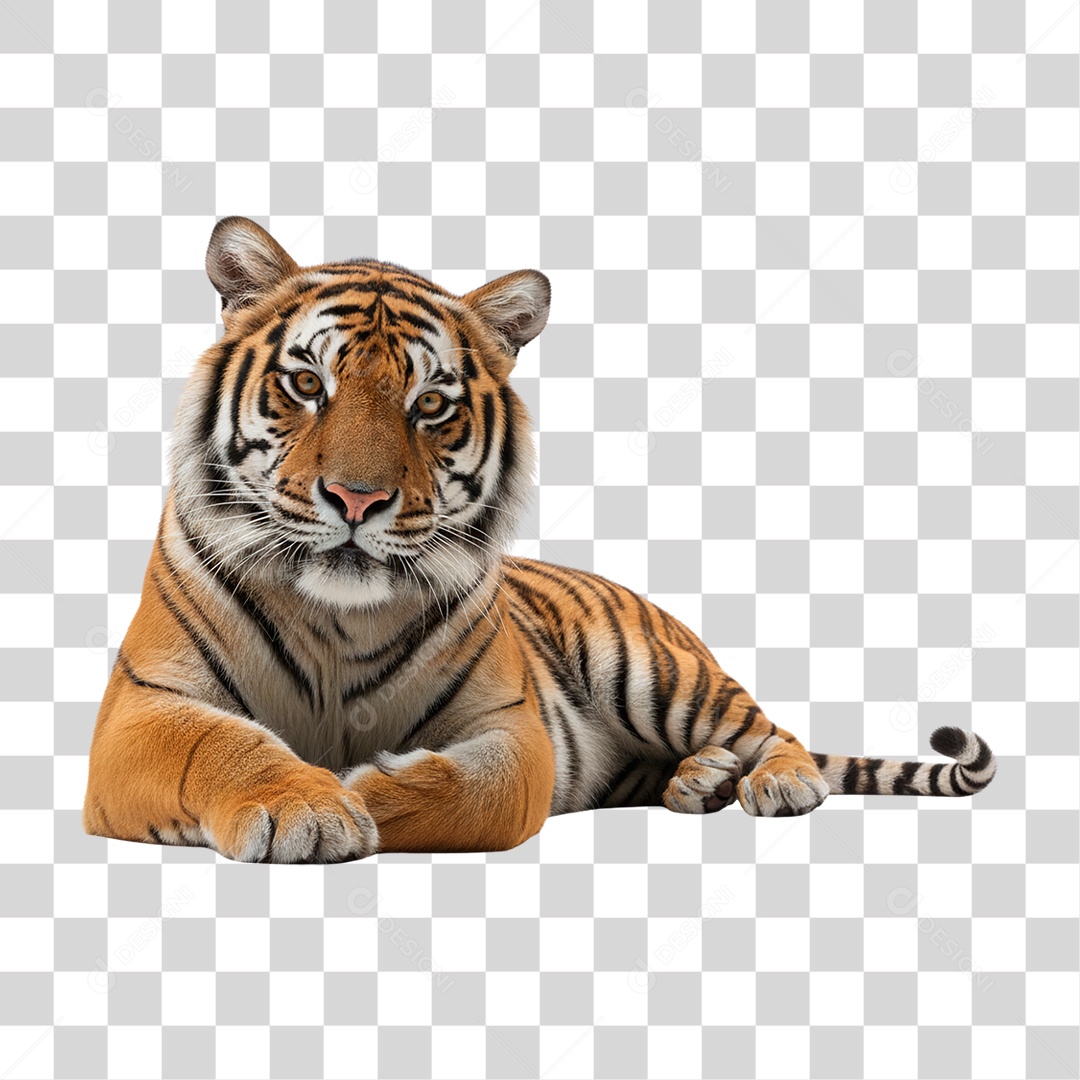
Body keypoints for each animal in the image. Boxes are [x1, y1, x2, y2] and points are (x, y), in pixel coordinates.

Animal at [82, 216, 998, 862]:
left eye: (430, 404)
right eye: (307, 384)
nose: (357, 497)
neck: (337, 618)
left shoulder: (512, 725)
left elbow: (472, 793)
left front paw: (355, 791)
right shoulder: (139, 709)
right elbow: (219, 744)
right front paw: (303, 801)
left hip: (659, 676)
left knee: (775, 730)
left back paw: (773, 783)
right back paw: (699, 781)